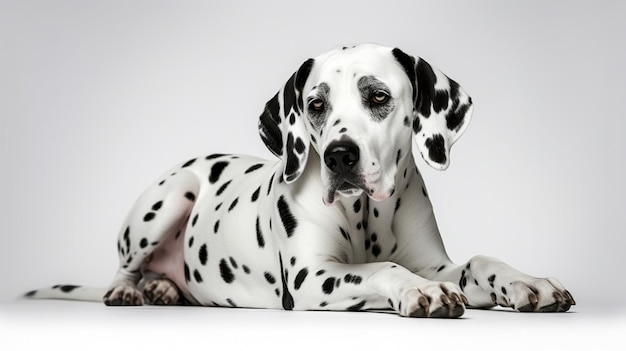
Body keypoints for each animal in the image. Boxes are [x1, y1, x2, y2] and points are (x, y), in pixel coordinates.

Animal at [24, 44, 572, 320]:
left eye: (378, 96)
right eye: (316, 103)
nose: (339, 156)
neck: (366, 213)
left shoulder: (438, 263)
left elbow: (478, 261)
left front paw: (528, 283)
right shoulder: (313, 277)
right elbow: (383, 267)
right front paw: (419, 292)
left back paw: (163, 288)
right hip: (168, 197)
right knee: (122, 269)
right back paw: (128, 292)